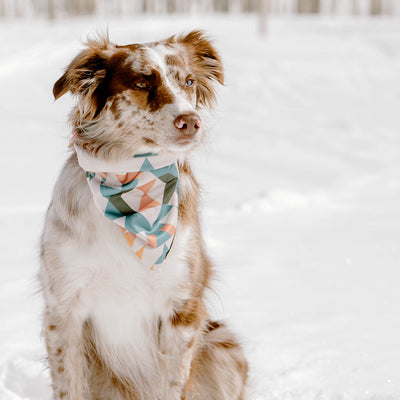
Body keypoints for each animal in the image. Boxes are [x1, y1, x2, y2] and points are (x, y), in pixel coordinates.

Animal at [40, 29, 247, 398]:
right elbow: (69, 385)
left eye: (189, 81)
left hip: (225, 347)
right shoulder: (63, 310)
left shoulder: (182, 311)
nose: (190, 122)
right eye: (140, 83)